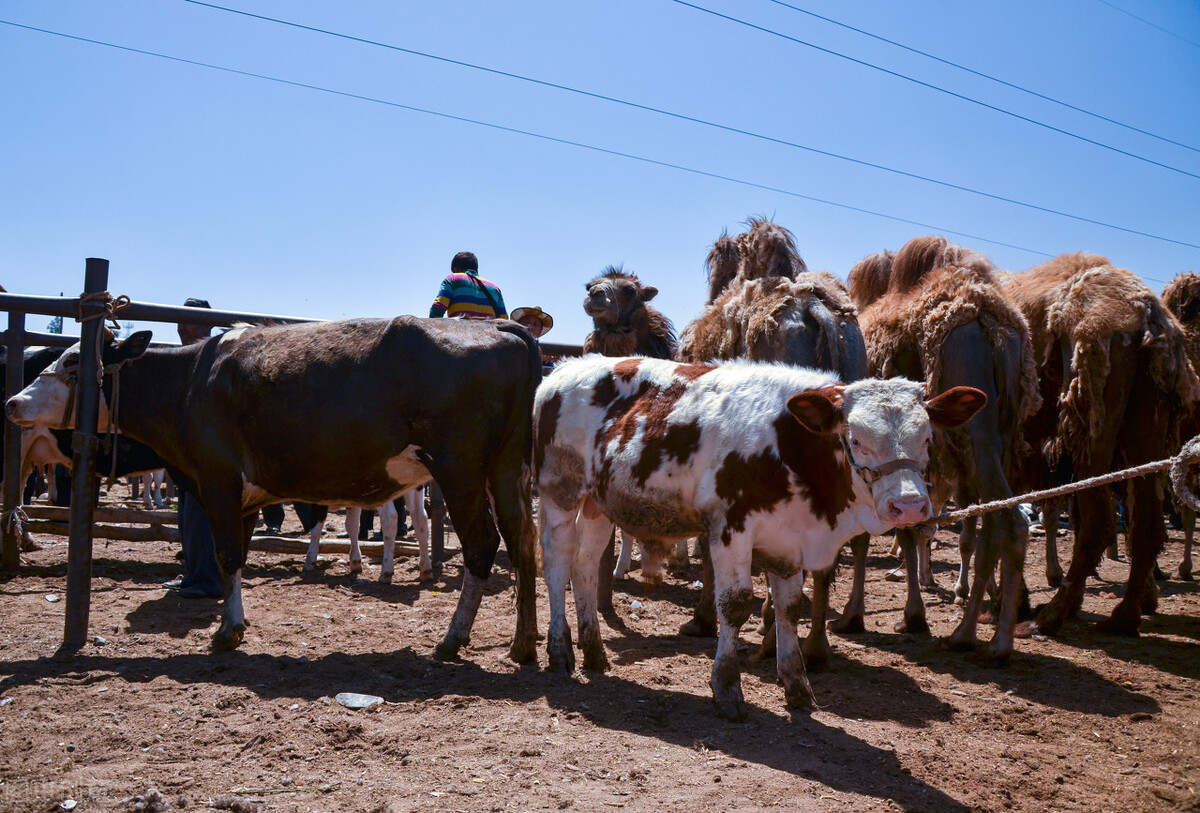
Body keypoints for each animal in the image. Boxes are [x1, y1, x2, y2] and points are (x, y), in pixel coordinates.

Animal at [7, 318, 542, 661]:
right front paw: (236, 624)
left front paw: (227, 632)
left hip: (460, 470)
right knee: (523, 542)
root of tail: (499, 329)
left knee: (482, 546)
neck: (190, 381)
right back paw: (525, 643)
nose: (13, 402)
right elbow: (239, 555)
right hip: (504, 471)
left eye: (74, 365)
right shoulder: (244, 495)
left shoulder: (217, 480)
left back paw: (452, 640)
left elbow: (226, 554)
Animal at [537, 357, 984, 719]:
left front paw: (797, 686)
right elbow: (735, 606)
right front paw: (727, 688)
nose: (909, 506)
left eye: (926, 439)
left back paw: (594, 652)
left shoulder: (788, 542)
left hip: (597, 503)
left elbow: (789, 608)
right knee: (558, 563)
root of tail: (565, 367)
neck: (789, 445)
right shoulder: (729, 528)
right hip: (560, 490)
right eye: (856, 439)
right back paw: (560, 651)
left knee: (584, 567)